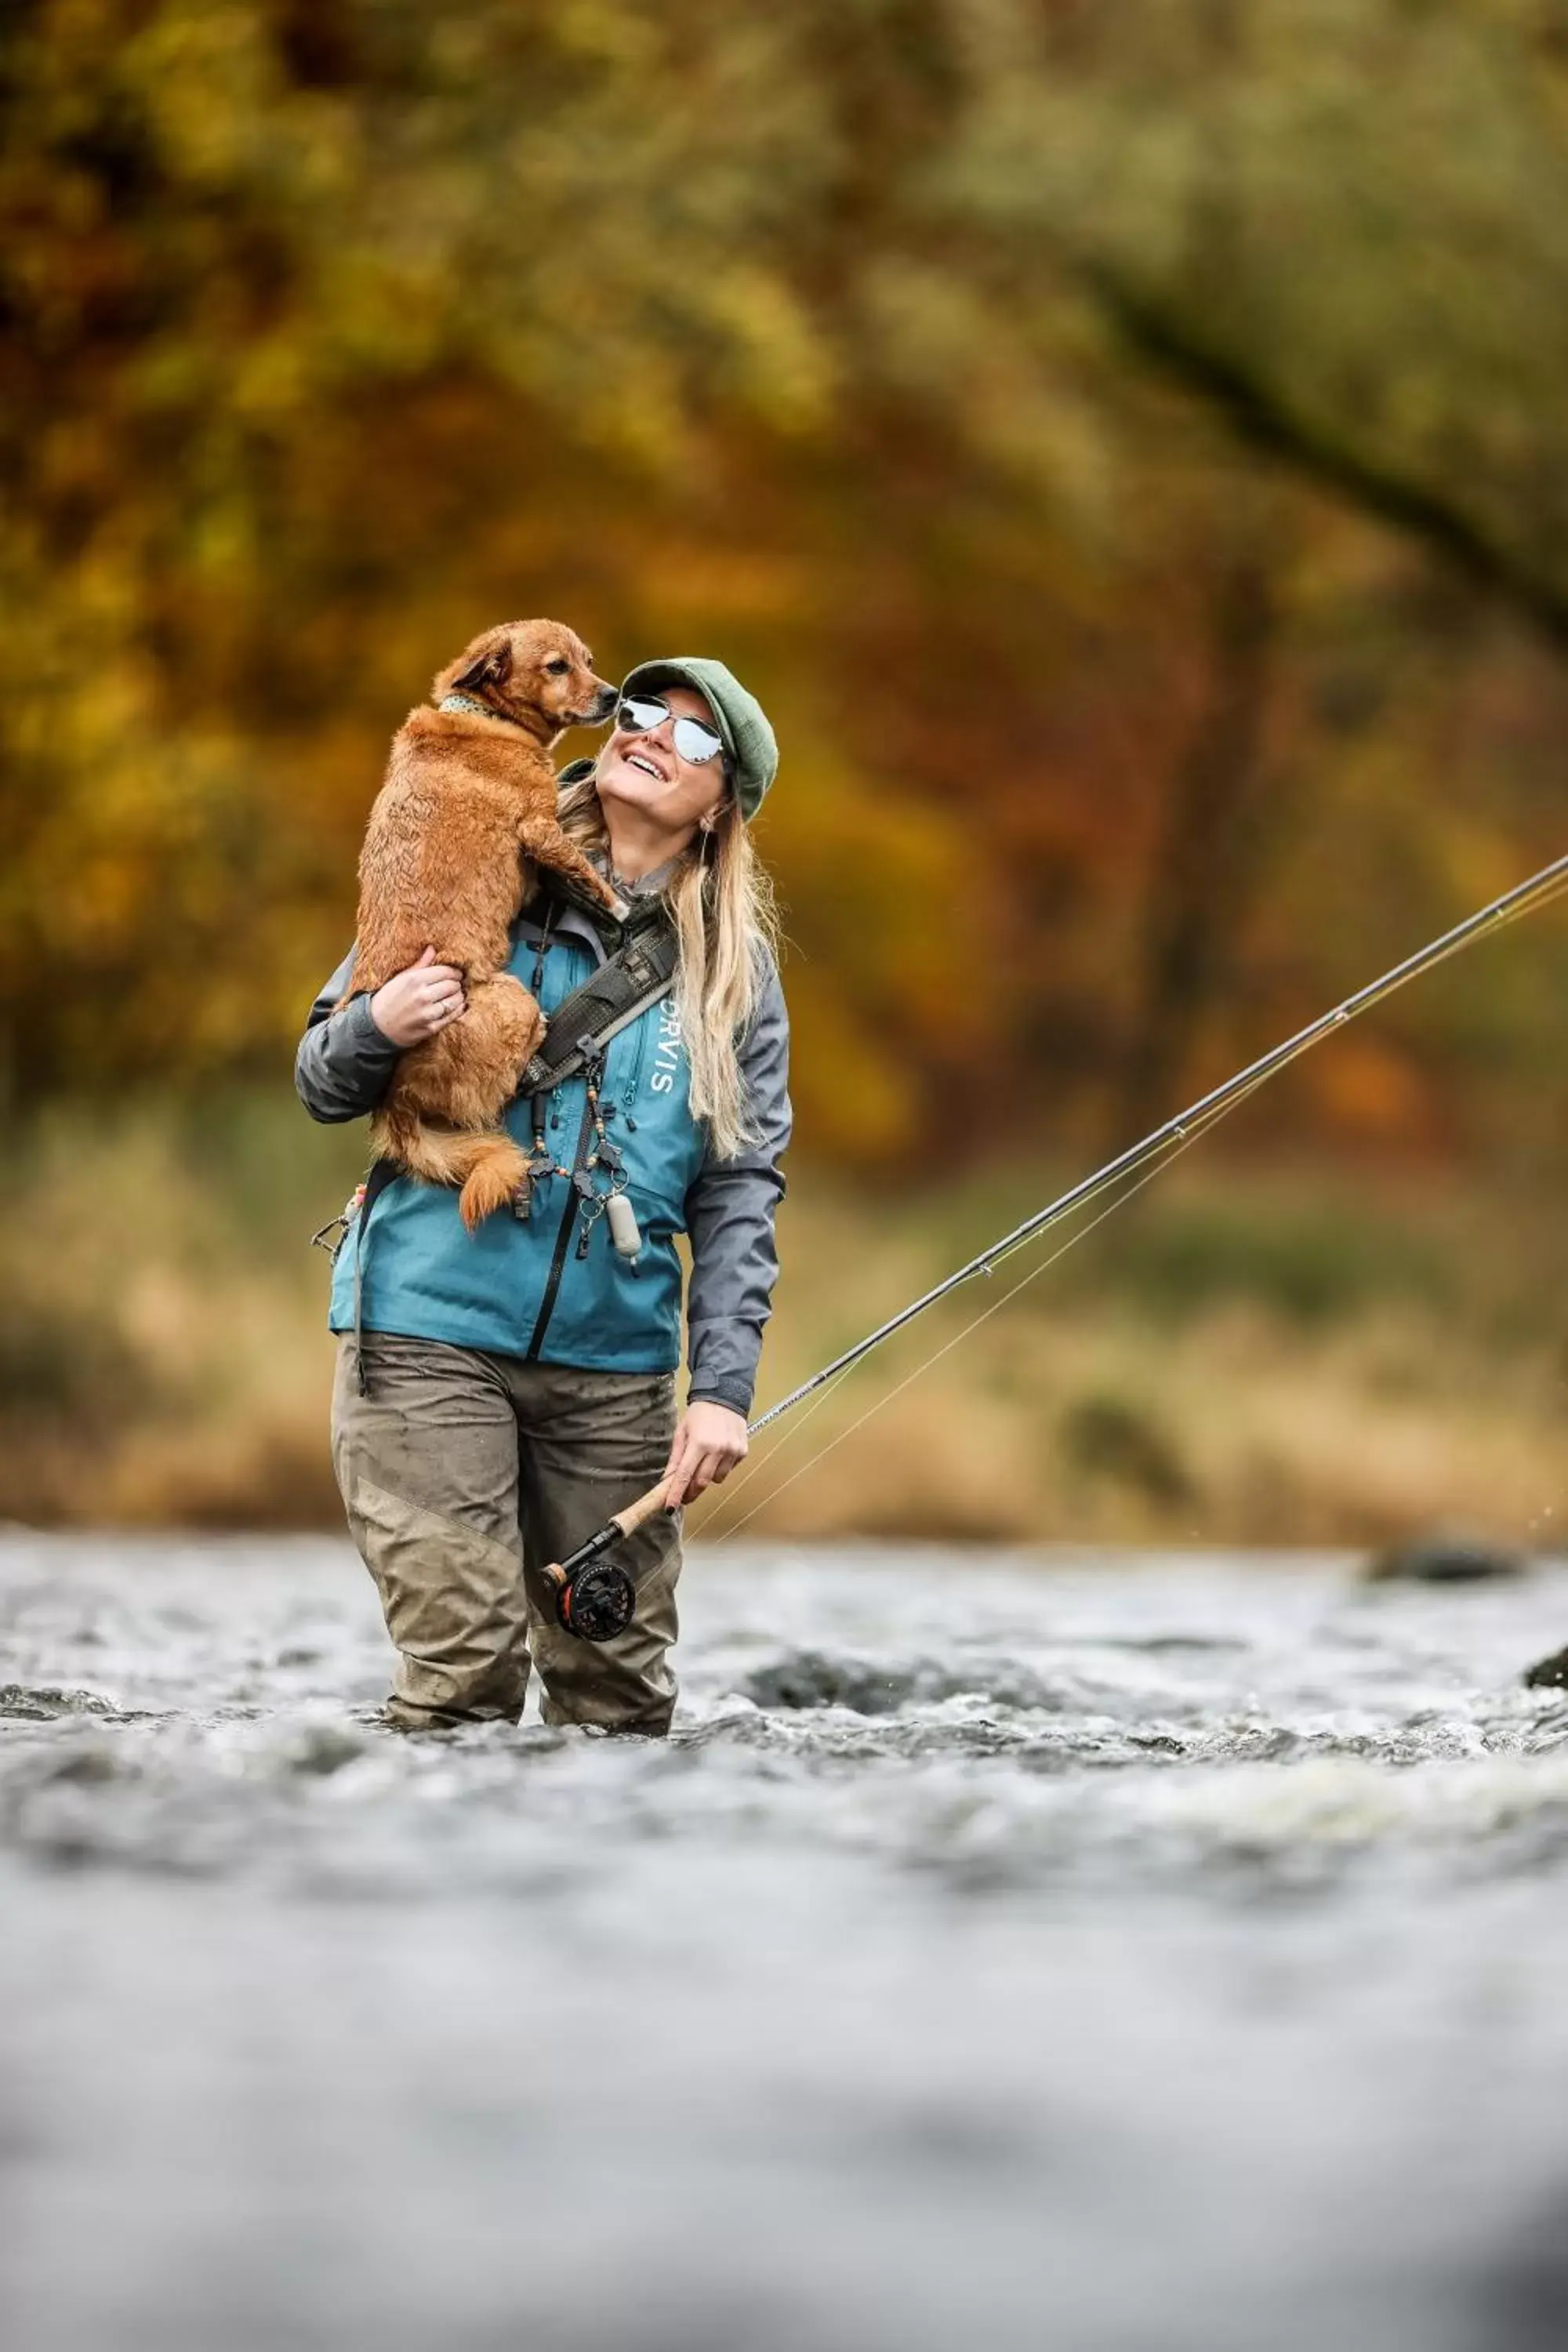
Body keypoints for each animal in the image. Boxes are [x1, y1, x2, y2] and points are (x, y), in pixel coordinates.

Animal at [350, 616, 625, 1223]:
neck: (486, 716)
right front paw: (615, 901)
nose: (614, 695)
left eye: (589, 661)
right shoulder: (541, 828)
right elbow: (579, 864)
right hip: (513, 1000)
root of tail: (394, 1103)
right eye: (557, 667)